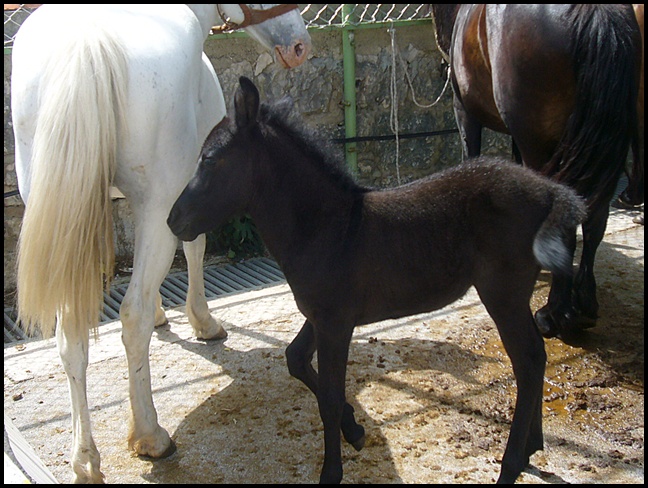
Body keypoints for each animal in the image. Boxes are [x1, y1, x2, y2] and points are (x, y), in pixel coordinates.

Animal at [11, 4, 310, 484]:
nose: (299, 46)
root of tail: (86, 46)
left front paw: (162, 315)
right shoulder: (184, 195)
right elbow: (195, 248)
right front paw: (203, 322)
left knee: (70, 337)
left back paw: (85, 459)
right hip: (155, 205)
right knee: (129, 316)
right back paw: (151, 435)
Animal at [168, 77, 588, 484]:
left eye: (210, 159)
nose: (174, 221)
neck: (326, 228)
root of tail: (550, 191)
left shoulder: (336, 323)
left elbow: (329, 397)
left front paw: (332, 471)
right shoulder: (319, 316)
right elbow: (295, 359)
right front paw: (354, 430)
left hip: (503, 293)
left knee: (527, 361)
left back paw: (511, 464)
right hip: (513, 295)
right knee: (537, 354)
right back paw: (533, 445)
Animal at [430, 4, 644, 340]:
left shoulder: (465, 112)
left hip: (539, 141)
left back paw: (556, 314)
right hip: (606, 142)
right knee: (596, 218)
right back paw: (585, 306)